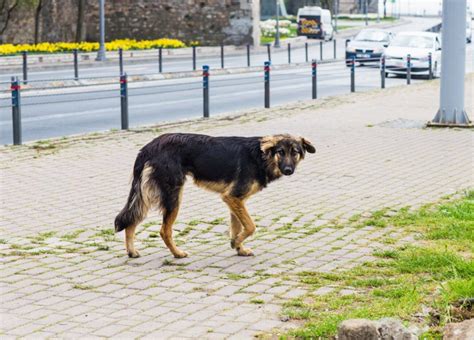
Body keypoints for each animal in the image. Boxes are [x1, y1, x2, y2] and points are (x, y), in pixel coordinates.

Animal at [114, 133, 314, 258]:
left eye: (295, 152)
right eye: (280, 152)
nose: (288, 170)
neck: (261, 157)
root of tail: (148, 147)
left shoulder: (236, 200)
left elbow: (237, 227)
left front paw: (239, 248)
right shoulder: (232, 197)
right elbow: (250, 226)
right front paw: (235, 243)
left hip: (147, 194)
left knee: (132, 219)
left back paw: (132, 251)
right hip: (173, 196)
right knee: (164, 230)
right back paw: (177, 254)